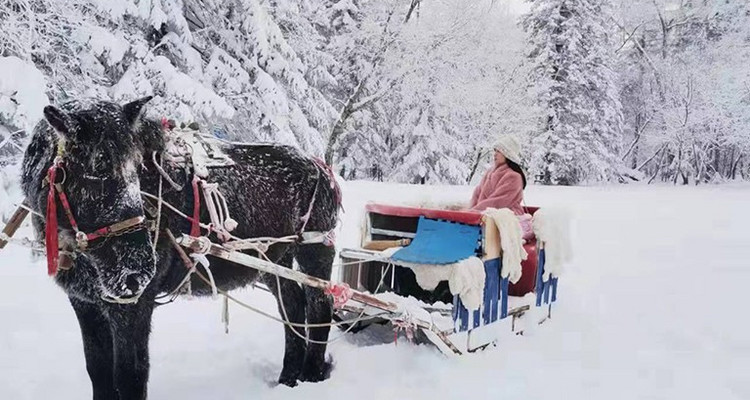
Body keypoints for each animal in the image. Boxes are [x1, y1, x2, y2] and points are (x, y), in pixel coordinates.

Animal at [20, 97, 342, 400]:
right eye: (96, 170)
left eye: (136, 169)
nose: (137, 272)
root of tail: (318, 164)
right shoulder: (85, 302)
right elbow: (98, 369)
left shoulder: (134, 305)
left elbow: (130, 374)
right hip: (274, 260)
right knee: (292, 307)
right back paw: (288, 378)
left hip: (315, 251)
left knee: (320, 306)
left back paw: (312, 375)